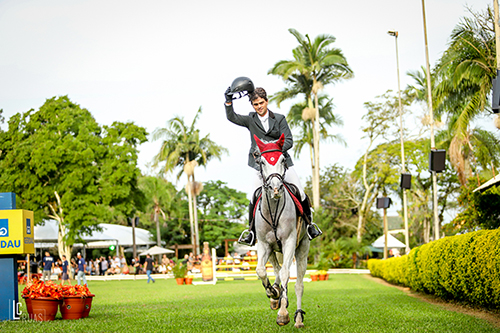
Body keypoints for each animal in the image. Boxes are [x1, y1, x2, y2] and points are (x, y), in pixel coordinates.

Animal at [252, 133, 310, 326]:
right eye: (261, 161)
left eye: (283, 159)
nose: (276, 189)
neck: (273, 209)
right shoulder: (263, 244)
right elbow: (261, 271)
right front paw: (273, 292)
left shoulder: (290, 241)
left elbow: (286, 273)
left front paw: (283, 313)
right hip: (272, 250)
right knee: (276, 269)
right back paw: (276, 293)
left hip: (302, 249)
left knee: (298, 284)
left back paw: (298, 317)